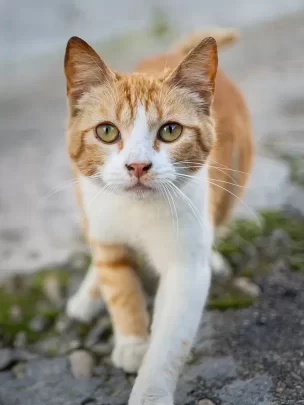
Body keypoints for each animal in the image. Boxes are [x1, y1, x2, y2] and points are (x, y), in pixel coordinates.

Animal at [64, 29, 254, 404]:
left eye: (170, 131)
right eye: (106, 131)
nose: (138, 166)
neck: (137, 212)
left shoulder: (185, 272)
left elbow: (168, 342)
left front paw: (150, 390)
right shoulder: (106, 234)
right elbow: (120, 288)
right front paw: (132, 344)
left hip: (233, 182)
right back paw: (86, 295)